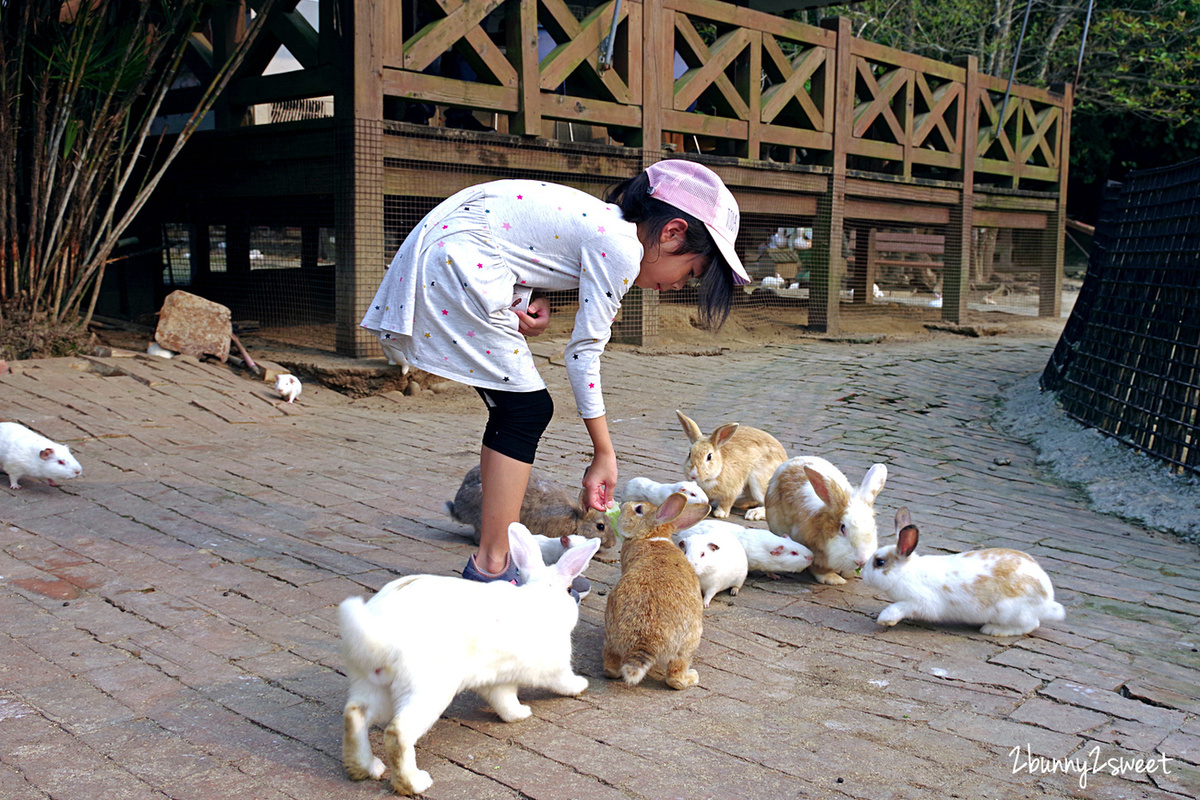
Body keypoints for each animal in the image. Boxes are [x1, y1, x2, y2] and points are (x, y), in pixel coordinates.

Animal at [338, 525, 600, 796]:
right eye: (569, 590)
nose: (575, 597)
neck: (541, 596)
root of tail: (378, 634)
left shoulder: (497, 678)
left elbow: (505, 701)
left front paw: (519, 714)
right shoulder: (554, 667)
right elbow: (562, 681)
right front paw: (580, 686)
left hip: (375, 688)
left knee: (354, 716)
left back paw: (365, 768)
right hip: (426, 692)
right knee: (397, 734)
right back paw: (415, 782)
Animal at [600, 491, 710, 690]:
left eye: (639, 509)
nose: (624, 505)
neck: (650, 535)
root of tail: (645, 640)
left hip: (611, 634)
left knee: (611, 668)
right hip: (687, 645)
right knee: (675, 679)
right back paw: (692, 677)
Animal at [763, 455, 888, 587]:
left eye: (873, 528)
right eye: (842, 528)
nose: (861, 561)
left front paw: (849, 574)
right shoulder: (814, 550)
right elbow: (819, 568)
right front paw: (833, 579)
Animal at [864, 510, 1070, 633]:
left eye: (879, 562)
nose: (864, 575)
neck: (906, 572)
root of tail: (1047, 599)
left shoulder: (919, 602)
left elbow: (898, 608)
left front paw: (885, 620)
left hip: (1011, 612)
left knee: (1031, 625)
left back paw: (992, 630)